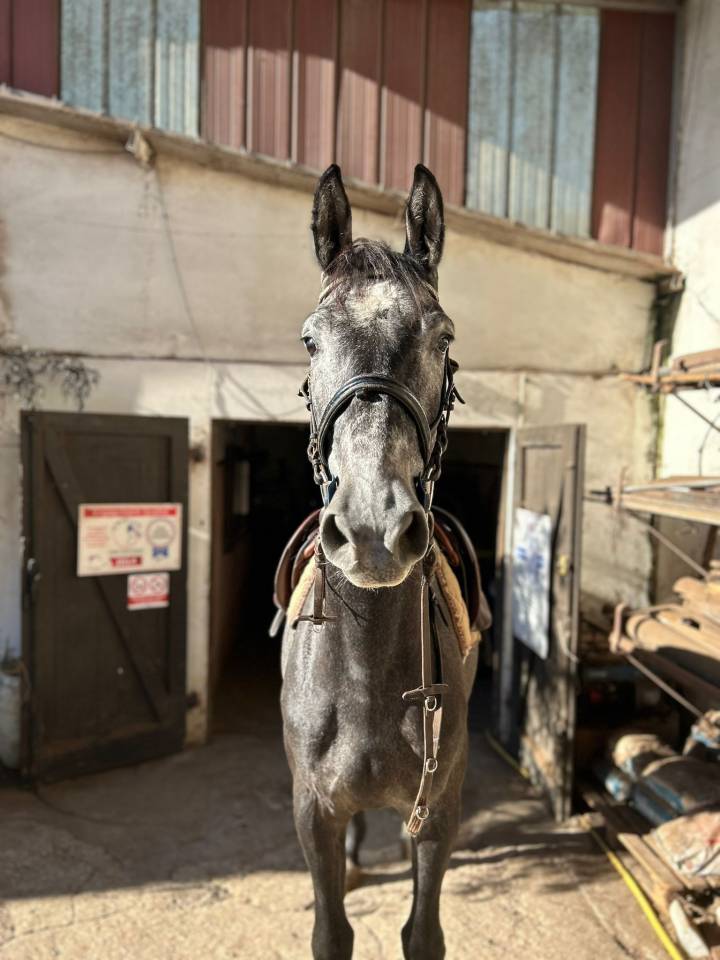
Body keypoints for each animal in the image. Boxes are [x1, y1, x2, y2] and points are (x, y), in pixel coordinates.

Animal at [280, 163, 480, 960]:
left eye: (442, 334)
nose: (371, 530)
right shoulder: (313, 811)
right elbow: (331, 933)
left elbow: (422, 934)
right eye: (310, 340)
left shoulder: (441, 810)